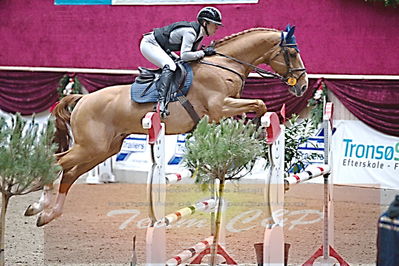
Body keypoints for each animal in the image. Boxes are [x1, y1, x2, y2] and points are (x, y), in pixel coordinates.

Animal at [25, 26, 310, 227]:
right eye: (292, 53)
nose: (304, 85)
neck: (225, 65)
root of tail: (83, 99)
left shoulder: (224, 110)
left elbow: (254, 109)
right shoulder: (220, 106)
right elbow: (260, 103)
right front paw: (259, 132)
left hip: (103, 149)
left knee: (69, 174)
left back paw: (47, 214)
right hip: (89, 147)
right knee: (57, 162)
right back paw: (39, 205)